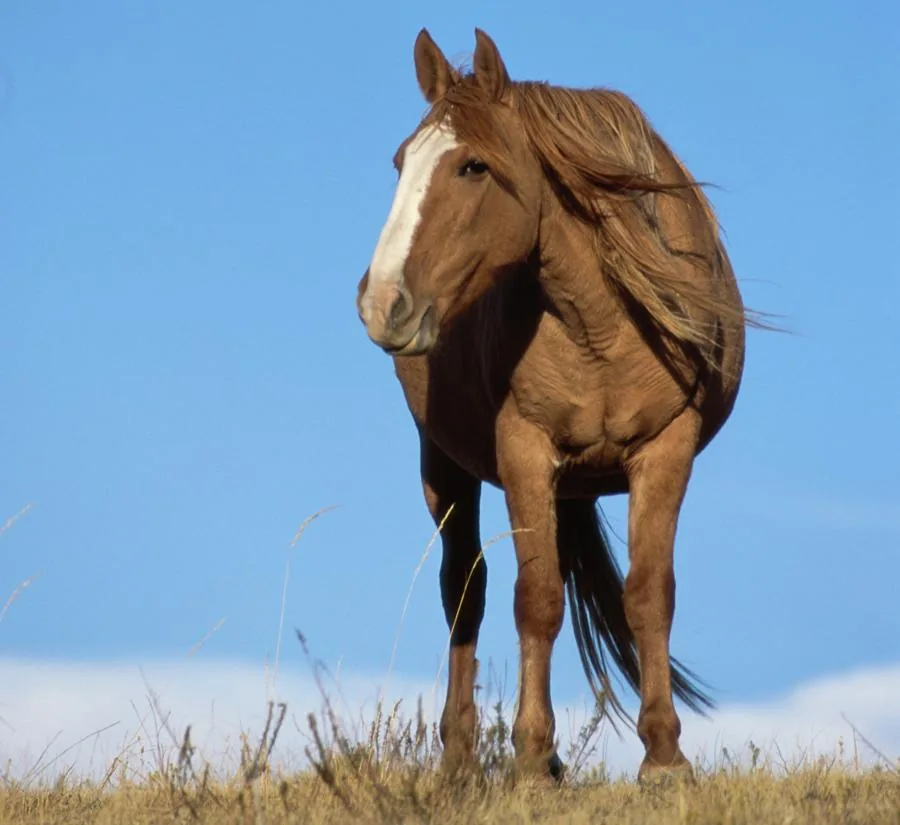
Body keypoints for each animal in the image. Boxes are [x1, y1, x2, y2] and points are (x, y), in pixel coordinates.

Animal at [356, 27, 763, 784]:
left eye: (474, 167)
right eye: (401, 162)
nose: (381, 301)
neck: (599, 321)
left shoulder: (666, 448)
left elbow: (648, 593)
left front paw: (664, 758)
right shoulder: (524, 450)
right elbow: (536, 599)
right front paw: (529, 755)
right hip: (445, 469)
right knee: (465, 591)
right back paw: (461, 758)